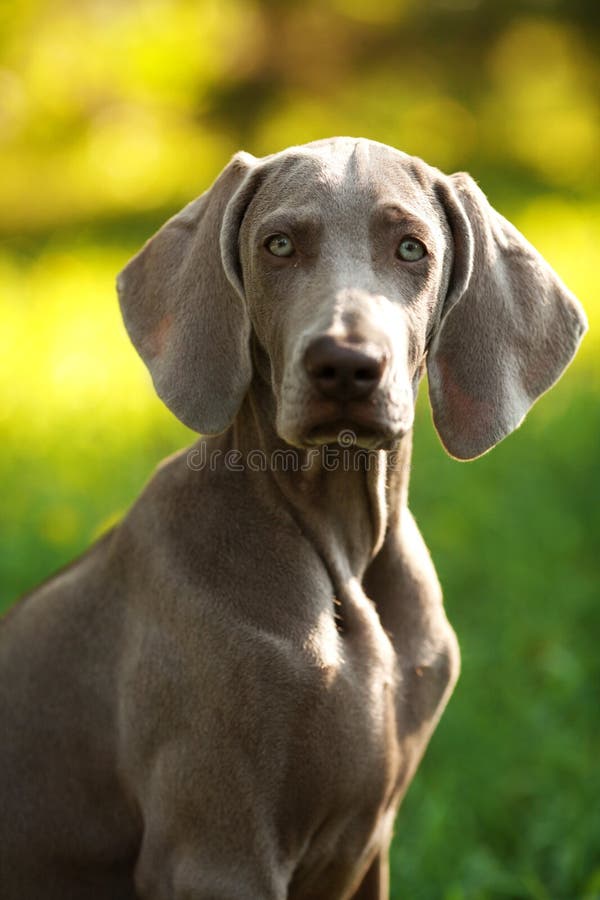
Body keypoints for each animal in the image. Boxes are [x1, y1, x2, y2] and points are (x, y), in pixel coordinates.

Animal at [0, 137, 584, 896]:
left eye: (411, 249)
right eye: (278, 245)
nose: (346, 365)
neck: (338, 543)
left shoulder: (369, 849)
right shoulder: (216, 853)